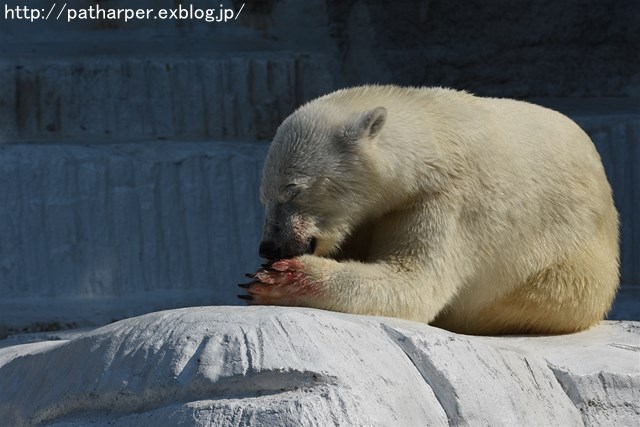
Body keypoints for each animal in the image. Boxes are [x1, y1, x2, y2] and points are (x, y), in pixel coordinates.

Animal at [238, 85, 616, 336]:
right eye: (262, 196)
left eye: (292, 189)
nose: (270, 247)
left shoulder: (446, 201)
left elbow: (414, 280)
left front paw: (275, 279)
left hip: (565, 270)